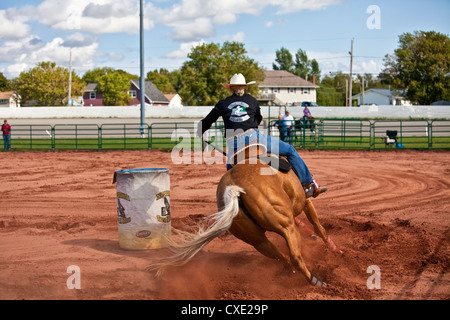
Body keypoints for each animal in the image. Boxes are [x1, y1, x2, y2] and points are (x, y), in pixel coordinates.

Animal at [149, 145, 340, 288]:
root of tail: (234, 189)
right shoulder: (306, 203)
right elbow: (318, 227)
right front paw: (335, 250)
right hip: (286, 226)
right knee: (294, 256)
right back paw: (316, 280)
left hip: (257, 240)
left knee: (282, 257)